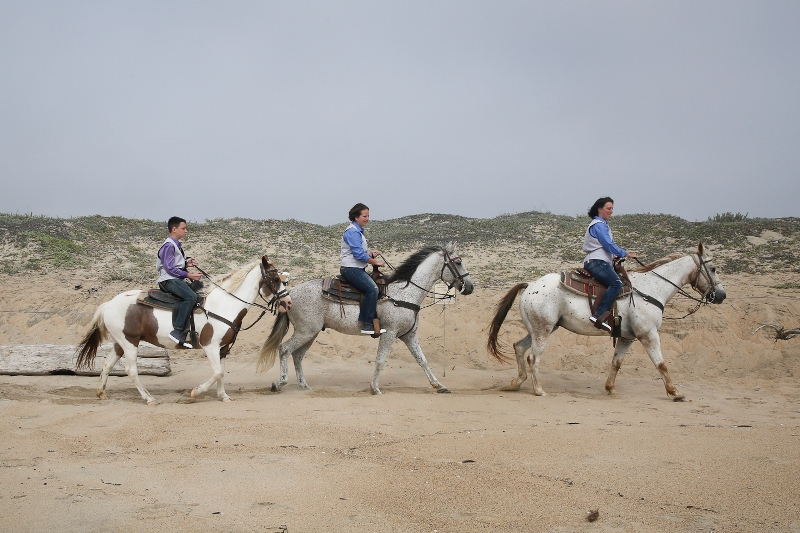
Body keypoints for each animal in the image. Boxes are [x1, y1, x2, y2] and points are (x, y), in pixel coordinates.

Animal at [75, 256, 290, 404]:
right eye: (275, 279)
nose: (287, 303)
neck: (224, 305)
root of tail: (108, 303)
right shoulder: (210, 346)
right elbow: (217, 373)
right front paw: (195, 392)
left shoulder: (223, 349)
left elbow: (221, 372)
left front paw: (223, 396)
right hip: (129, 343)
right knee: (131, 370)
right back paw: (149, 398)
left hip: (120, 343)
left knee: (107, 365)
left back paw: (102, 393)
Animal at [256, 243, 472, 392]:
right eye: (458, 262)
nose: (470, 287)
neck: (404, 293)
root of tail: (289, 293)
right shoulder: (390, 333)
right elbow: (380, 360)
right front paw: (374, 388)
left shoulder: (409, 335)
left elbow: (423, 360)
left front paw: (439, 385)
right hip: (305, 331)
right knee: (284, 349)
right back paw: (280, 383)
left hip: (311, 333)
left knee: (297, 355)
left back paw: (304, 385)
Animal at [488, 242, 724, 400]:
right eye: (713, 268)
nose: (721, 295)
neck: (650, 289)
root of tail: (530, 285)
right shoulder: (648, 334)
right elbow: (661, 364)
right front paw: (675, 393)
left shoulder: (627, 338)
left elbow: (616, 362)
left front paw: (610, 388)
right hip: (543, 330)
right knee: (533, 358)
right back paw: (538, 390)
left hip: (541, 329)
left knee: (519, 347)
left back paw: (516, 383)